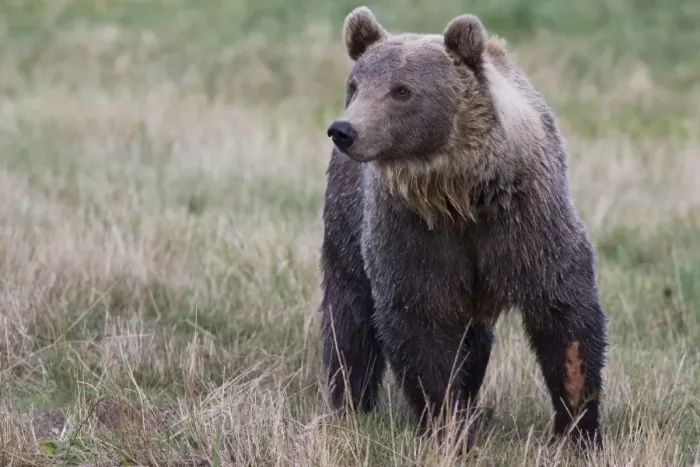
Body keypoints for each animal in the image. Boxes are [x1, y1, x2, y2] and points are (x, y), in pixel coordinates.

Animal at [318, 6, 608, 453]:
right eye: (355, 85)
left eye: (401, 90)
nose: (345, 130)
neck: (459, 194)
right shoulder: (412, 233)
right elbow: (420, 324)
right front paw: (448, 426)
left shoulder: (528, 224)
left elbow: (565, 315)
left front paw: (579, 429)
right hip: (346, 220)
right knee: (348, 315)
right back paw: (351, 403)